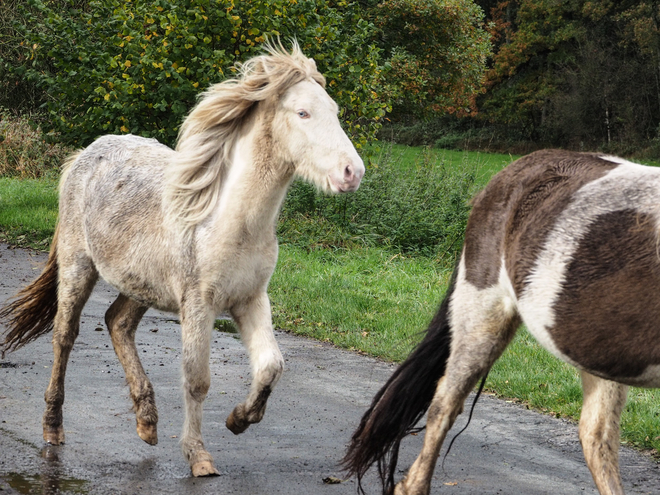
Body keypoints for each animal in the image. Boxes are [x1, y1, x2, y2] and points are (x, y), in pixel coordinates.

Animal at [0, 42, 364, 476]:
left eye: (334, 111)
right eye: (303, 113)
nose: (353, 172)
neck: (229, 221)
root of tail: (84, 155)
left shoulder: (250, 300)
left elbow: (271, 366)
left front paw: (239, 420)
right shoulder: (198, 305)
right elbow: (197, 380)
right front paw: (198, 455)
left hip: (140, 285)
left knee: (117, 323)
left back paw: (147, 422)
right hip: (78, 267)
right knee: (64, 336)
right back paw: (53, 428)